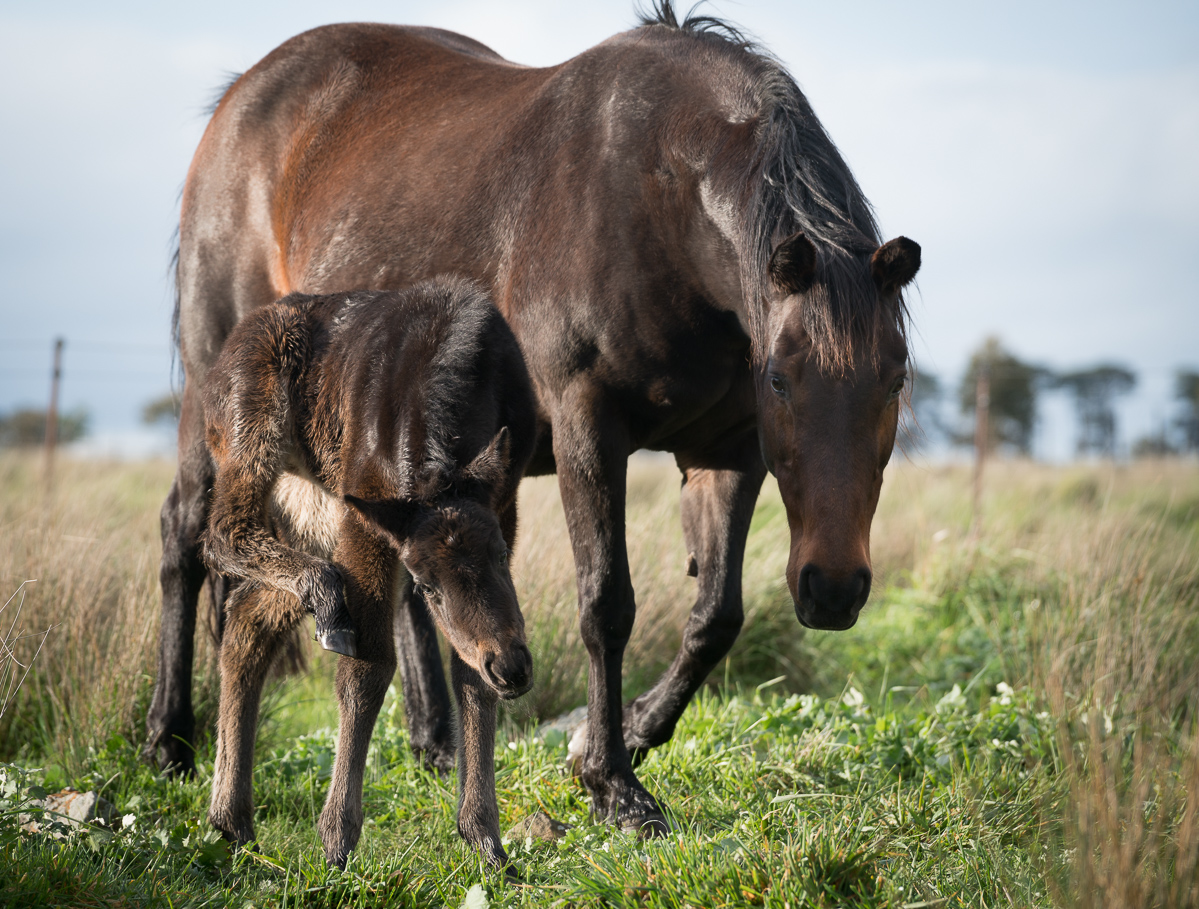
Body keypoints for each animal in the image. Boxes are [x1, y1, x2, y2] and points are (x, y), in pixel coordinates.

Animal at [200, 278, 536, 869]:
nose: (514, 668)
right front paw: (337, 838)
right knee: (224, 534)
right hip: (254, 441)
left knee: (247, 619)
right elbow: (367, 670)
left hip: (308, 509)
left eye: (500, 557)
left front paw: (485, 840)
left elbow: (469, 673)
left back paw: (232, 819)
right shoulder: (366, 518)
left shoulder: (505, 500)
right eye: (425, 586)